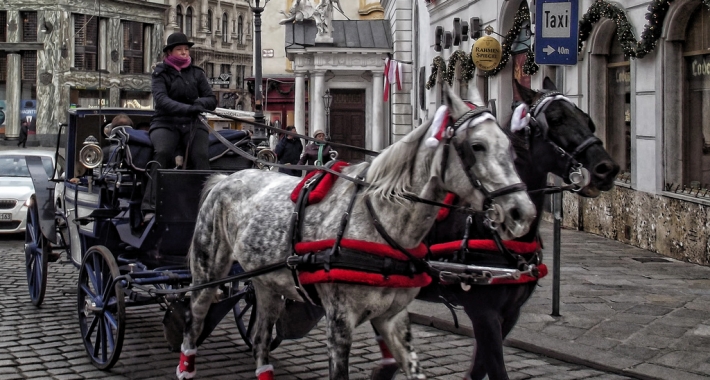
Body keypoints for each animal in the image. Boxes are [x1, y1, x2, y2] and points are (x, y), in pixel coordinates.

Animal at [181, 87, 536, 380]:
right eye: (477, 146)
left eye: (510, 146)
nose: (523, 212)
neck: (380, 224)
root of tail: (225, 178)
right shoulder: (340, 322)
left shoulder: (395, 318)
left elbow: (411, 367)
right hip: (207, 271)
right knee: (193, 323)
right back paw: (186, 365)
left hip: (266, 283)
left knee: (260, 338)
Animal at [372, 78, 624, 380]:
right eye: (555, 119)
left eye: (588, 120)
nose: (606, 168)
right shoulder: (484, 313)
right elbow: (496, 369)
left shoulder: (510, 313)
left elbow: (478, 370)